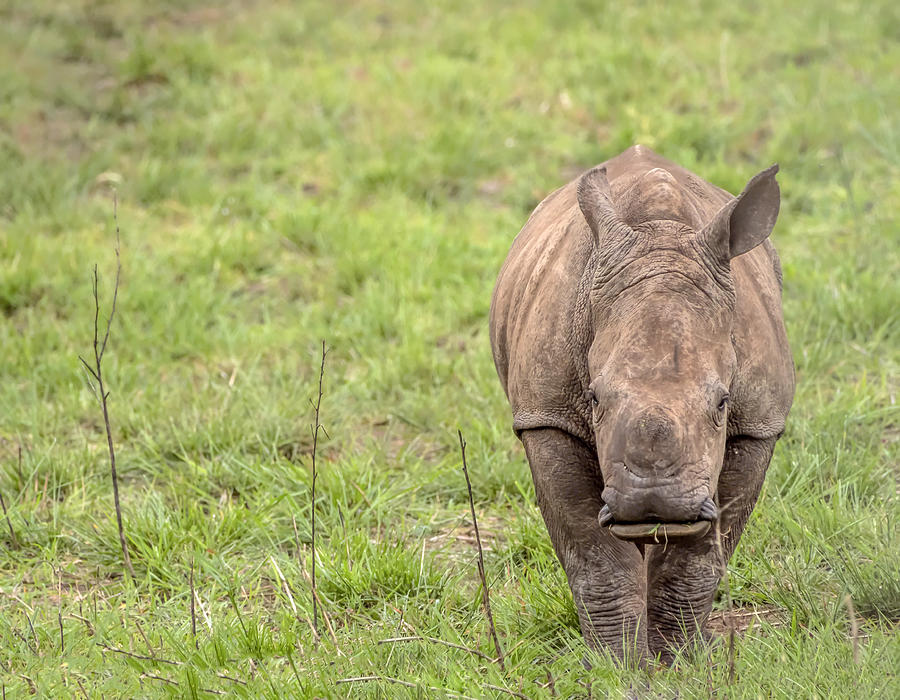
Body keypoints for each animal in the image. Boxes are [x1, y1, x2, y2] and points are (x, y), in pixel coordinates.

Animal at [492, 145, 796, 660]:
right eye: (593, 398)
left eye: (723, 403)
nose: (653, 503)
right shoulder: (545, 415)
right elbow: (593, 553)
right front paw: (616, 662)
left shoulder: (759, 422)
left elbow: (700, 557)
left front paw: (677, 659)